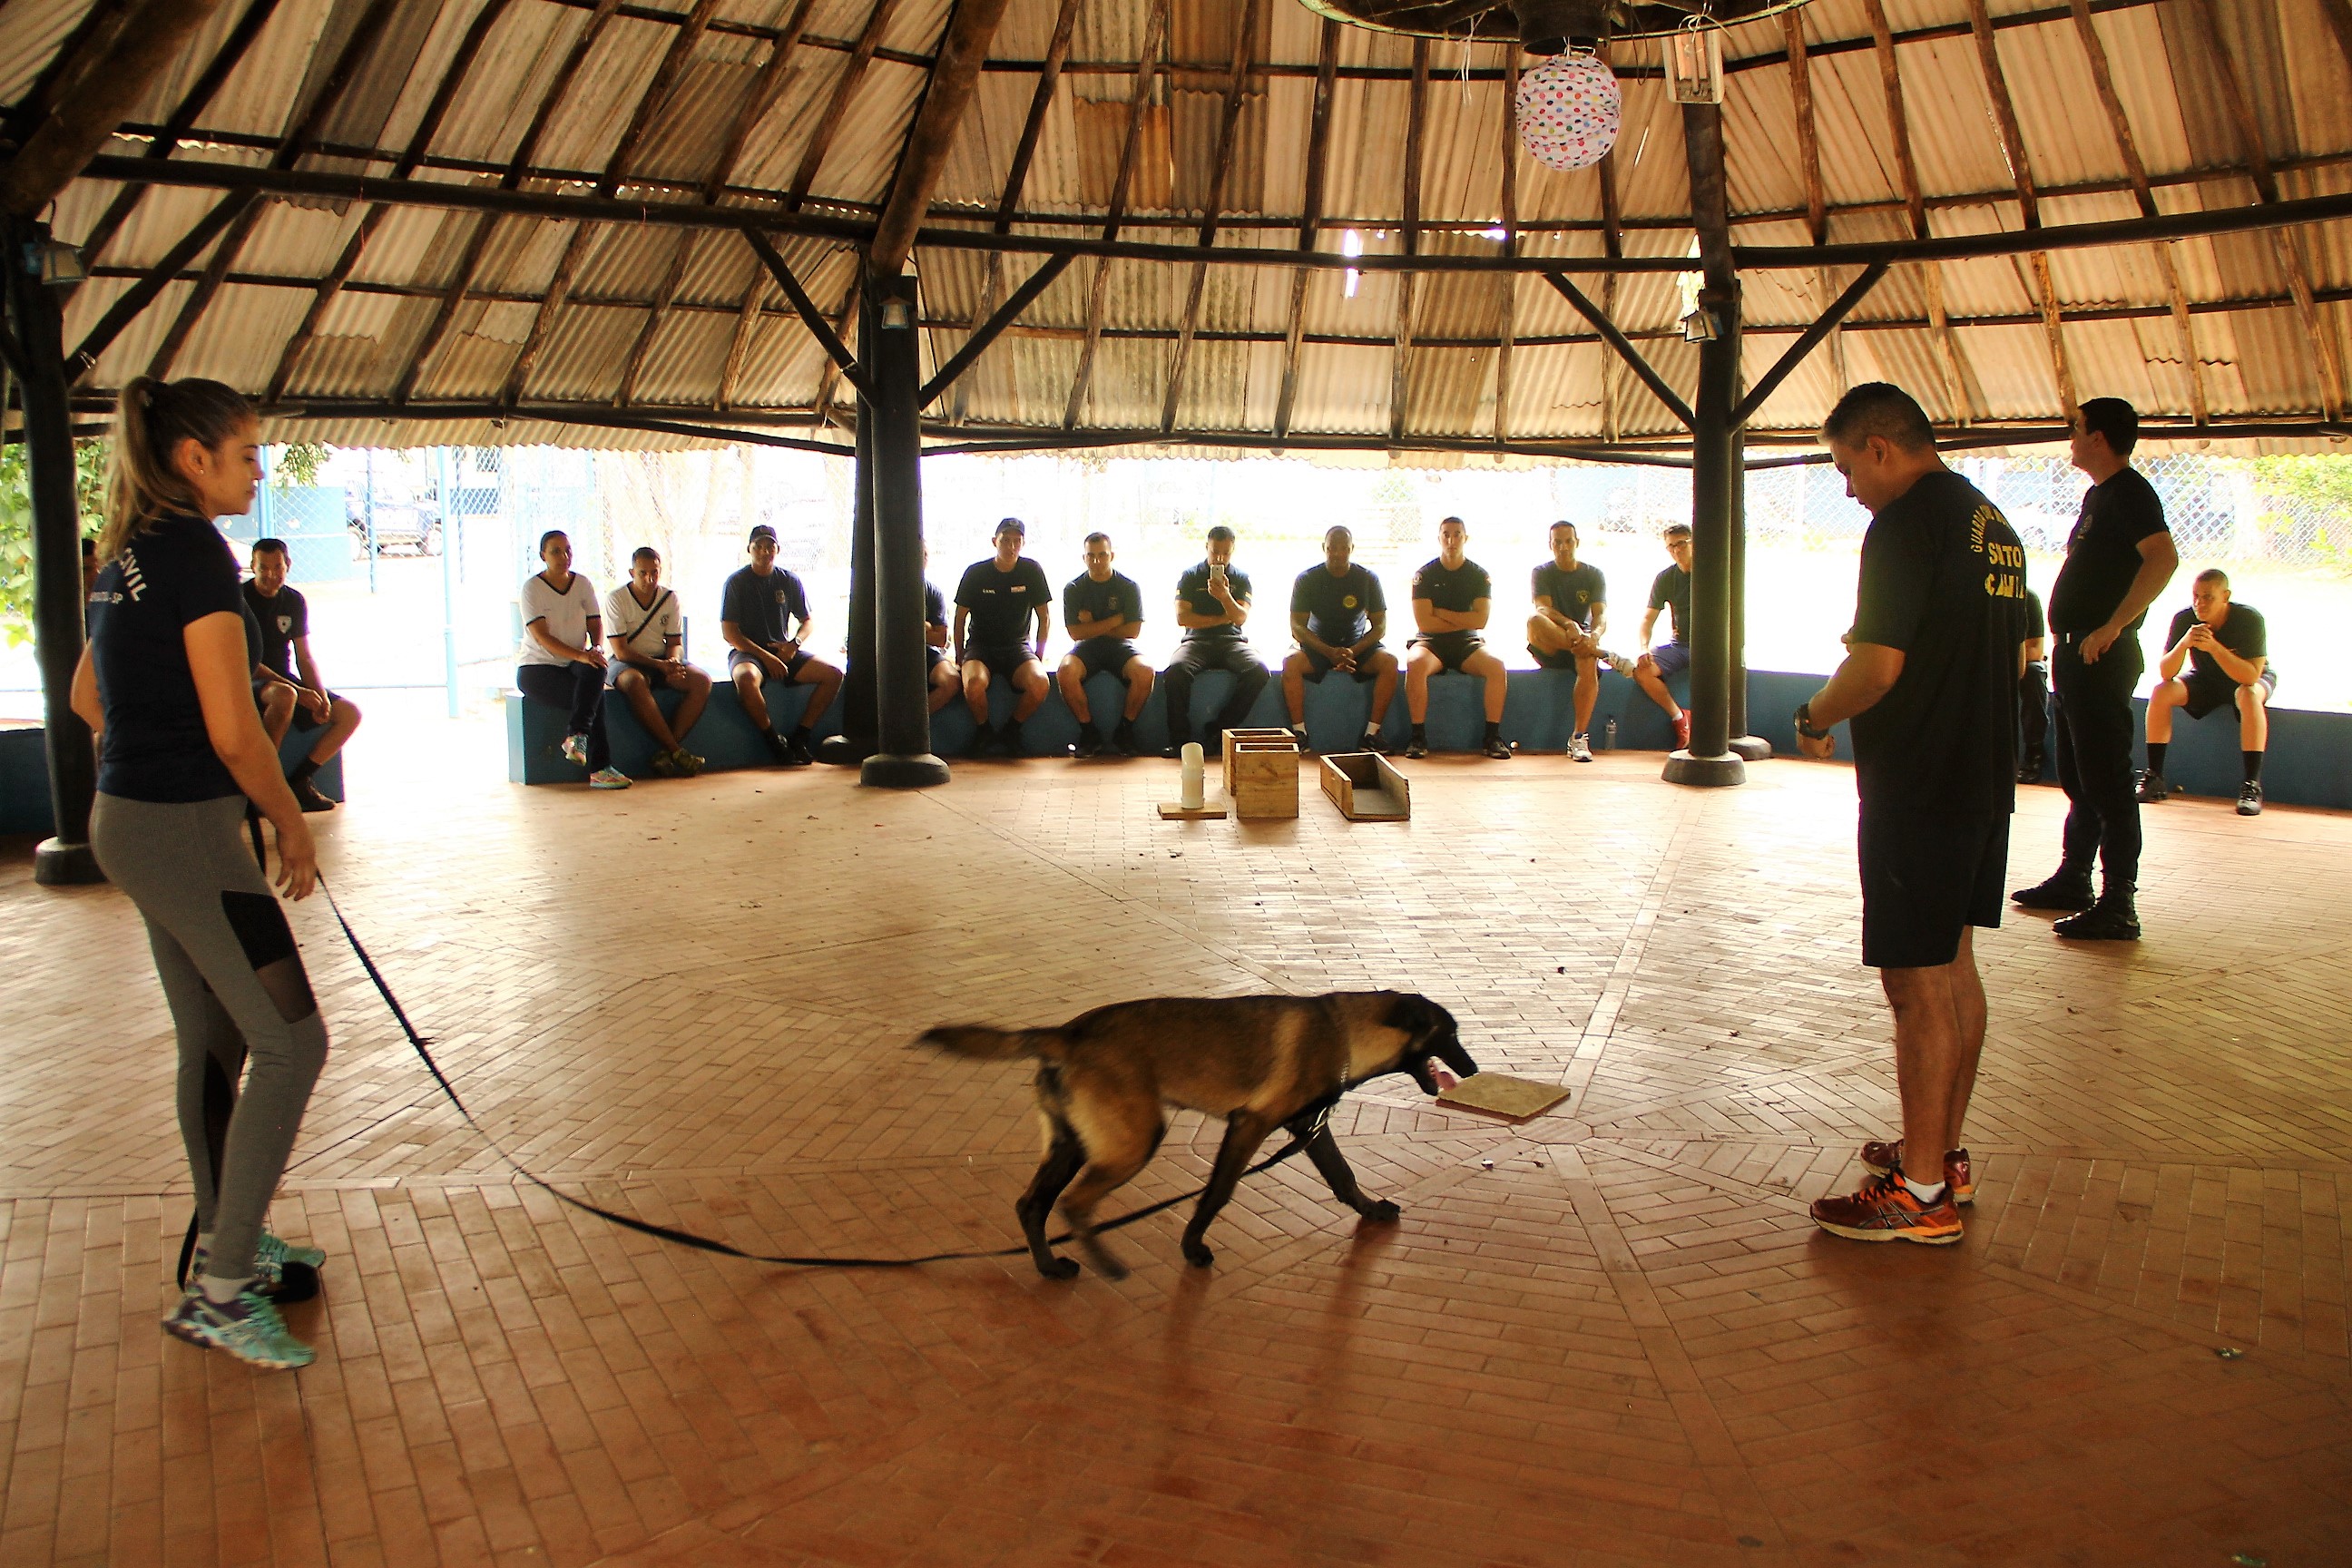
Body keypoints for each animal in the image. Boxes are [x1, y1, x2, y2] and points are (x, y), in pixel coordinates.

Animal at [912, 1001, 1467, 1279]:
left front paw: (1370, 1210)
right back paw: (1107, 1265)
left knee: (1032, 1205)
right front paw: (1192, 1247)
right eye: (1451, 1034)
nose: (1472, 1067)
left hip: (1070, 1147)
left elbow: (1344, 1177)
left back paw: (1050, 1267)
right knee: (1074, 1204)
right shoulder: (1248, 1125)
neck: (1342, 1029)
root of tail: (1066, 1034)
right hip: (1135, 1141)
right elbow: (1218, 1192)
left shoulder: (1311, 1129)